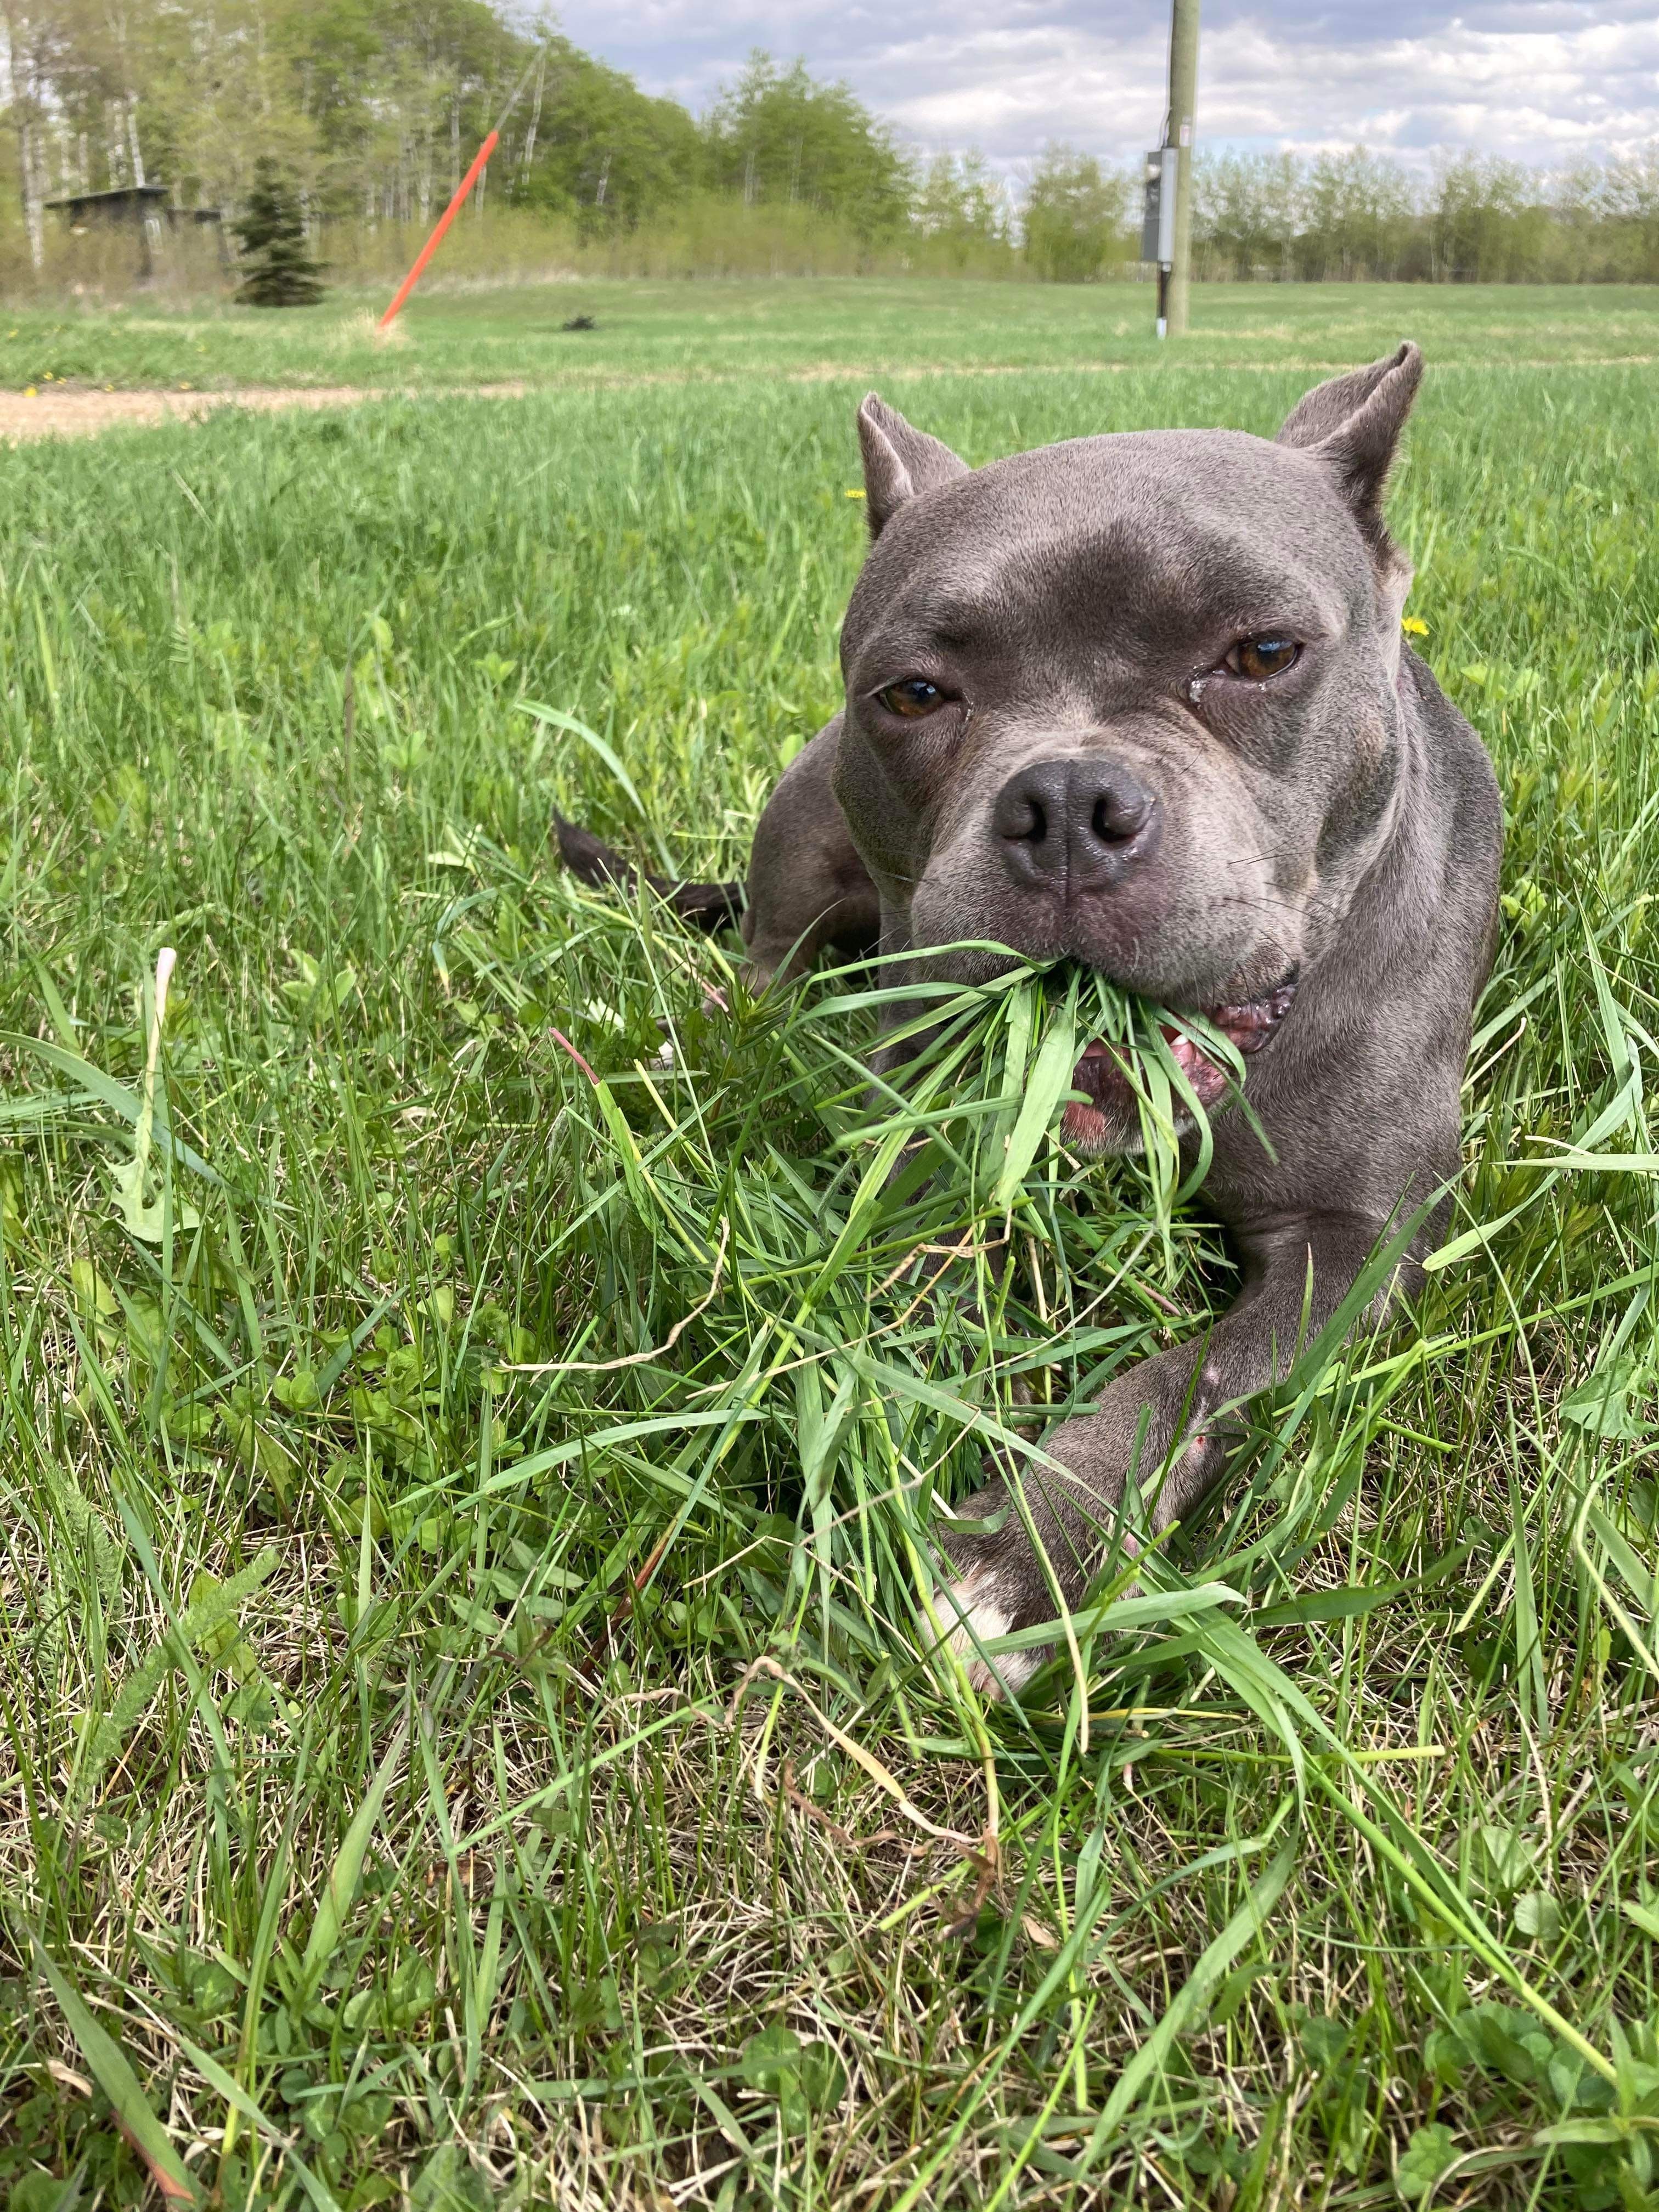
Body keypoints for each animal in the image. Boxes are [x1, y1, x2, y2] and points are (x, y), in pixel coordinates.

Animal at [562, 340, 1504, 1690]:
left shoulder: (1354, 1238)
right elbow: (898, 1284)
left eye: (1263, 653)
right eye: (914, 692)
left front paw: (1026, 1553)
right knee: (767, 962)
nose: (1064, 802)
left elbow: (1194, 1375)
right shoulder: (927, 1143)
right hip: (798, 837)